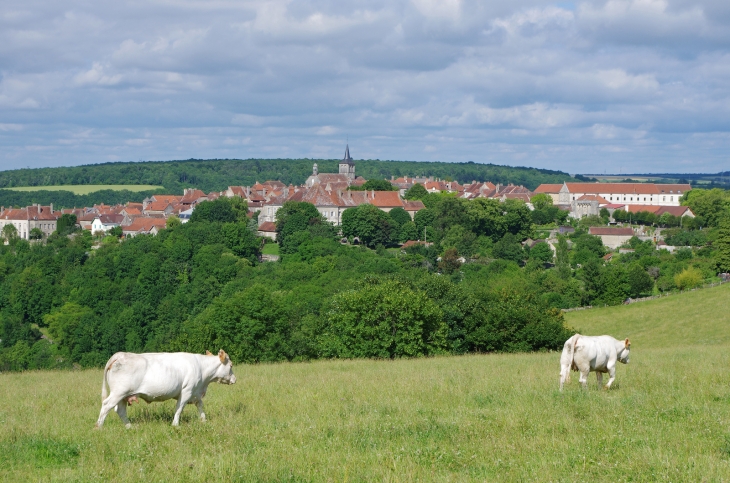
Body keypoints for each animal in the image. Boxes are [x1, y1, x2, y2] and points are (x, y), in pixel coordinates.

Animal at [95, 350, 235, 430]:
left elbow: (200, 406)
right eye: (231, 365)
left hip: (124, 396)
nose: (235, 379)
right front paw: (175, 424)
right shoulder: (187, 391)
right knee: (106, 406)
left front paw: (204, 421)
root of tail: (119, 355)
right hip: (119, 392)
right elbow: (179, 408)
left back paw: (130, 427)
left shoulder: (195, 393)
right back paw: (99, 427)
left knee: (120, 410)